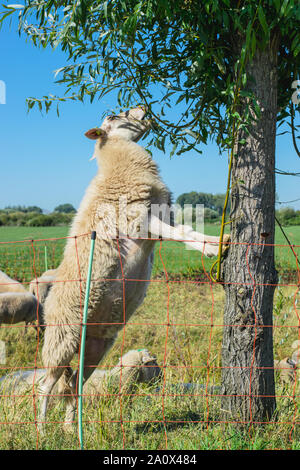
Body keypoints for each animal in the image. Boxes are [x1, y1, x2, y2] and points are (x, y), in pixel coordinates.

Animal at [37, 107, 230, 434]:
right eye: (115, 116)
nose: (142, 108)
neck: (120, 163)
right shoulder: (141, 219)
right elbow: (181, 235)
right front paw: (214, 249)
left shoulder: (162, 217)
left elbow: (188, 232)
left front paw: (220, 242)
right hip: (61, 338)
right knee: (46, 385)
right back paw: (41, 430)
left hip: (95, 346)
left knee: (73, 384)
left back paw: (70, 429)